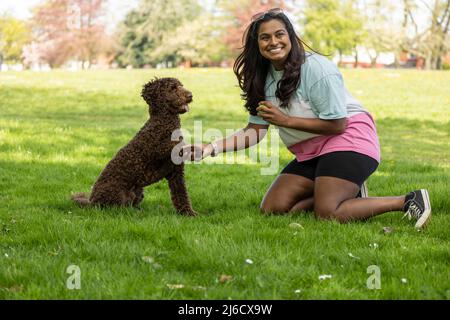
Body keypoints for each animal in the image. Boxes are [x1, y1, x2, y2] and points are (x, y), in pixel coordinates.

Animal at [71, 78, 198, 216]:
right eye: (172, 88)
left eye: (181, 85)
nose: (190, 95)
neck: (162, 124)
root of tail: (91, 202)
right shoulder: (159, 151)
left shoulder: (176, 173)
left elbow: (181, 195)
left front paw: (188, 213)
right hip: (118, 194)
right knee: (116, 209)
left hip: (138, 190)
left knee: (130, 205)